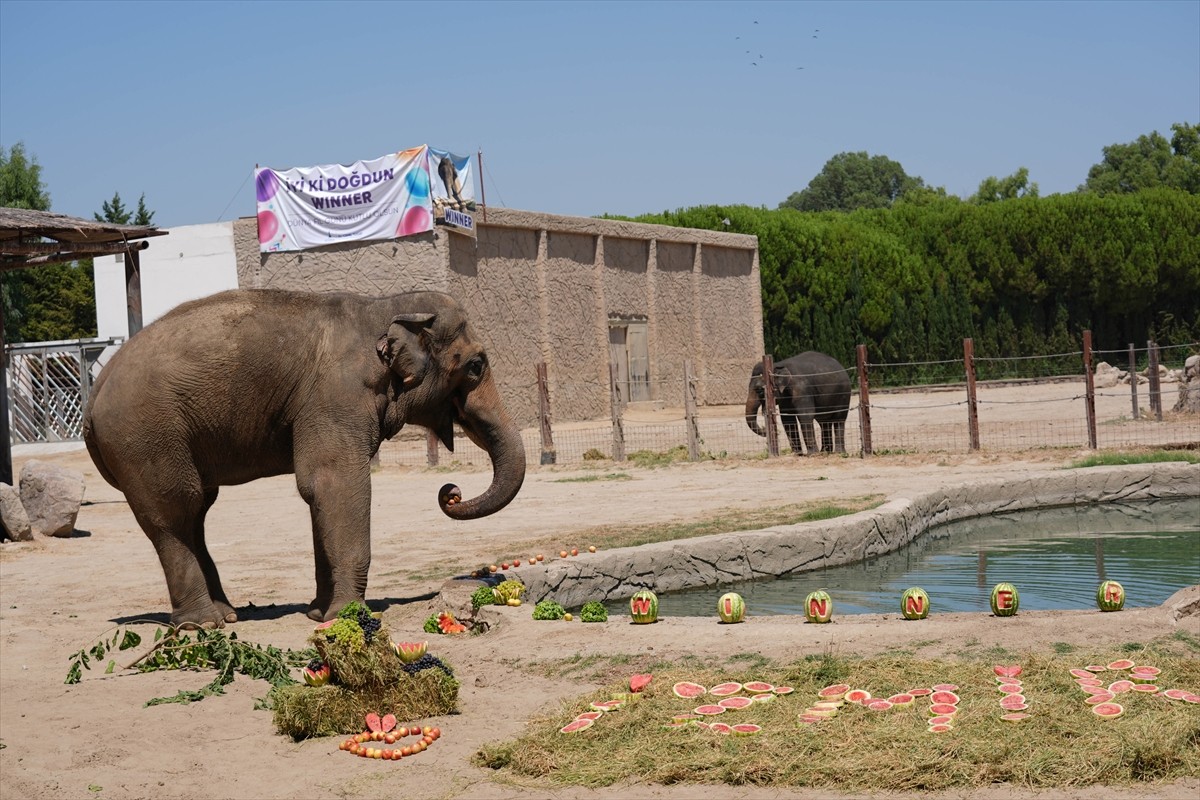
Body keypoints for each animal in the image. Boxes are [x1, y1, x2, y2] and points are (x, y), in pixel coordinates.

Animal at [84, 289, 525, 633]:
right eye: (475, 366)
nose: (451, 491)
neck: (381, 307)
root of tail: (96, 390)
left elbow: (319, 495)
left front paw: (318, 613)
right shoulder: (337, 396)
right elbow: (334, 483)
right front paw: (349, 614)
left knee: (196, 513)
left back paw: (226, 616)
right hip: (145, 437)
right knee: (175, 513)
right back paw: (202, 624)